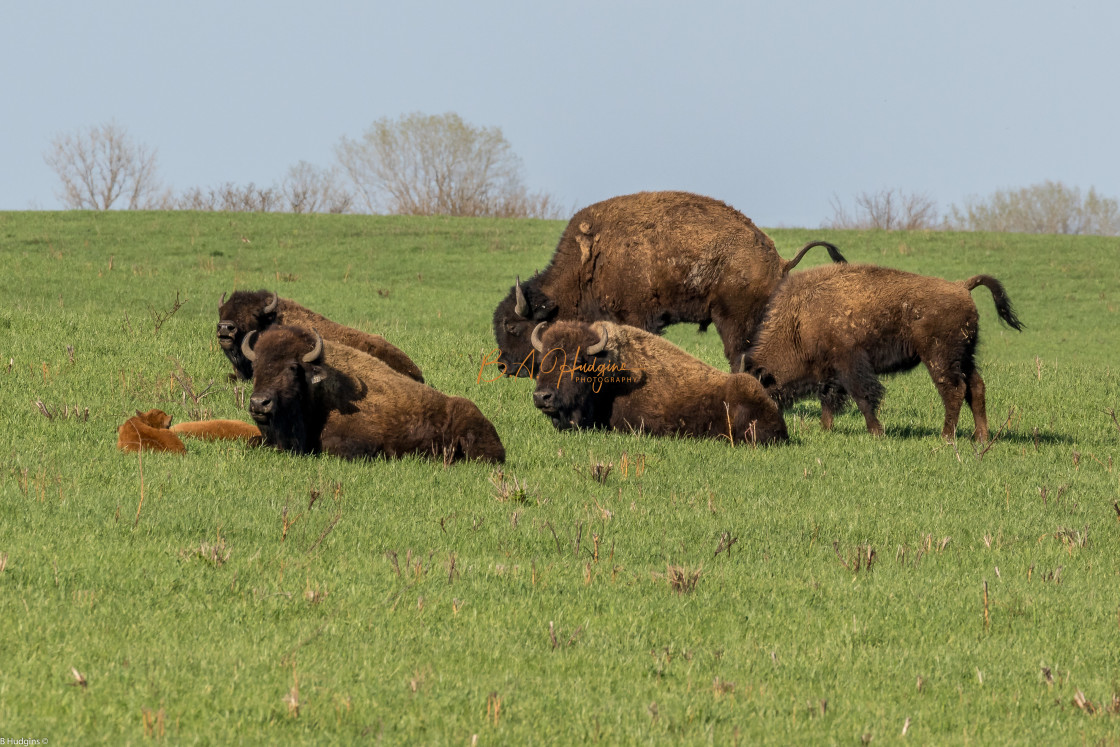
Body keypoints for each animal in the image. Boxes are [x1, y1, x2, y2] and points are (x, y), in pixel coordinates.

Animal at [495, 190, 842, 376]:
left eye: (512, 326)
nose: (503, 366)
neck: (588, 261)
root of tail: (778, 258)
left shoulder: (634, 316)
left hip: (733, 320)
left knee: (739, 356)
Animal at [743, 264, 1025, 441]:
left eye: (764, 392)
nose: (755, 427)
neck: (800, 318)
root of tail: (961, 286)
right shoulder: (830, 373)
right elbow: (829, 399)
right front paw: (825, 428)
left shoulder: (850, 365)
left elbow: (864, 397)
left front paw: (876, 432)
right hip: (965, 357)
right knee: (976, 388)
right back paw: (981, 437)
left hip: (939, 358)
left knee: (954, 391)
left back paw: (946, 437)